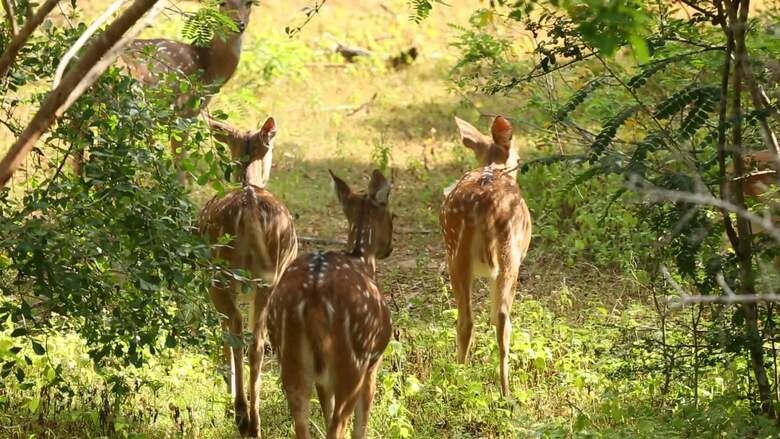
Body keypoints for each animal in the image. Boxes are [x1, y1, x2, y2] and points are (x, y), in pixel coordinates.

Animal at [198, 116, 298, 436]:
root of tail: (251, 207)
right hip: (268, 276)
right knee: (255, 342)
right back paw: (254, 420)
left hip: (219, 273)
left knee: (235, 328)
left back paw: (242, 413)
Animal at [266, 169, 394, 439]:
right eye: (392, 215)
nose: (389, 248)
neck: (362, 258)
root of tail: (314, 295)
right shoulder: (374, 362)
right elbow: (361, 424)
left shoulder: (323, 378)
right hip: (354, 361)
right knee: (337, 426)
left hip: (290, 357)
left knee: (303, 424)